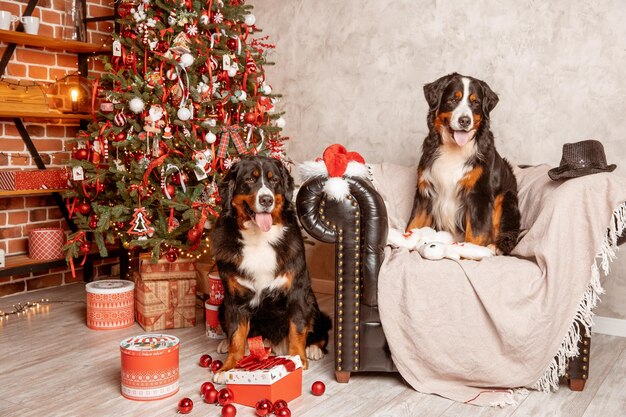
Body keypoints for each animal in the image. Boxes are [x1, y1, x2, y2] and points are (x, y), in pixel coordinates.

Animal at [408, 72, 520, 254]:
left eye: (475, 102)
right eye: (453, 99)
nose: (465, 120)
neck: (454, 150)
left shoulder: (479, 195)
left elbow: (476, 235)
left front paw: (470, 252)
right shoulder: (425, 191)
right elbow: (413, 224)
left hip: (506, 198)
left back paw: (494, 247)